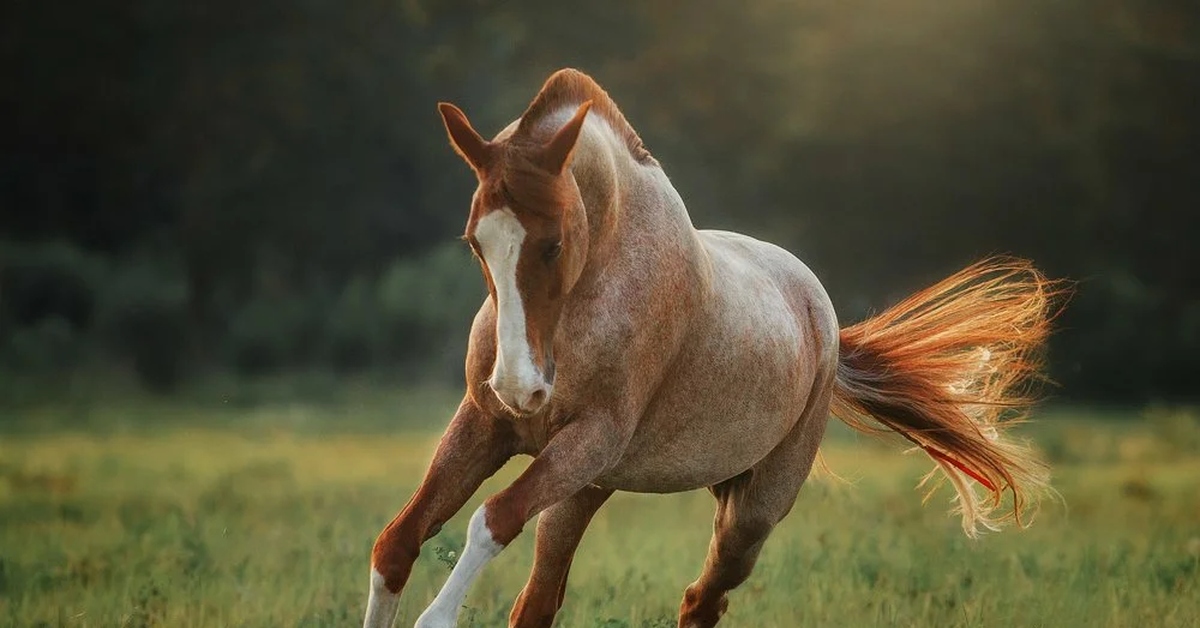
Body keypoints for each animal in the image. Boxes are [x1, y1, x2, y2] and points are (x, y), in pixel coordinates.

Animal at [362, 68, 1060, 628]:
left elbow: (491, 520)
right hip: (585, 487)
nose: (520, 388)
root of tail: (825, 322)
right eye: (475, 241)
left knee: (703, 600)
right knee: (546, 603)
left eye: (554, 243)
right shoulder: (488, 426)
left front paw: (437, 614)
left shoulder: (589, 438)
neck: (603, 274)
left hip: (746, 514)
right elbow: (395, 545)